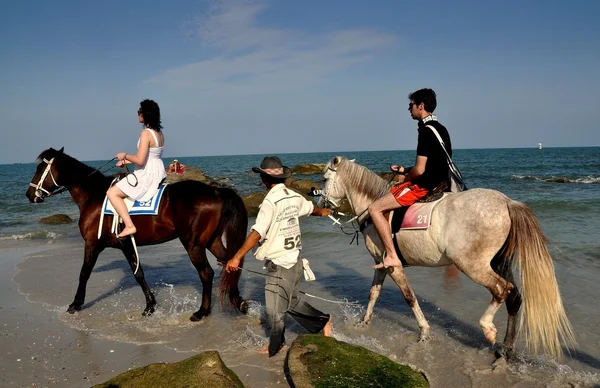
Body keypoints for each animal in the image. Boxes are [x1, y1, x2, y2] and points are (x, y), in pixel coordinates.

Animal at [25, 147, 246, 320]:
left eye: (39, 169)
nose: (29, 194)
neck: (94, 196)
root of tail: (216, 191)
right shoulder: (126, 245)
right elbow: (138, 274)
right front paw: (150, 306)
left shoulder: (92, 243)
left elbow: (84, 273)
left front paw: (75, 304)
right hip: (211, 241)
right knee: (231, 262)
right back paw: (239, 302)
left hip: (194, 245)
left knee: (206, 273)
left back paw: (202, 311)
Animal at [318, 156, 576, 360]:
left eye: (324, 178)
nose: (320, 203)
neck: (374, 209)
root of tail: (506, 202)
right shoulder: (380, 266)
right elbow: (374, 293)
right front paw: (364, 322)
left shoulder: (393, 267)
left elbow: (409, 297)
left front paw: (424, 331)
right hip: (498, 262)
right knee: (514, 297)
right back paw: (506, 349)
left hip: (473, 265)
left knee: (502, 289)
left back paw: (488, 329)